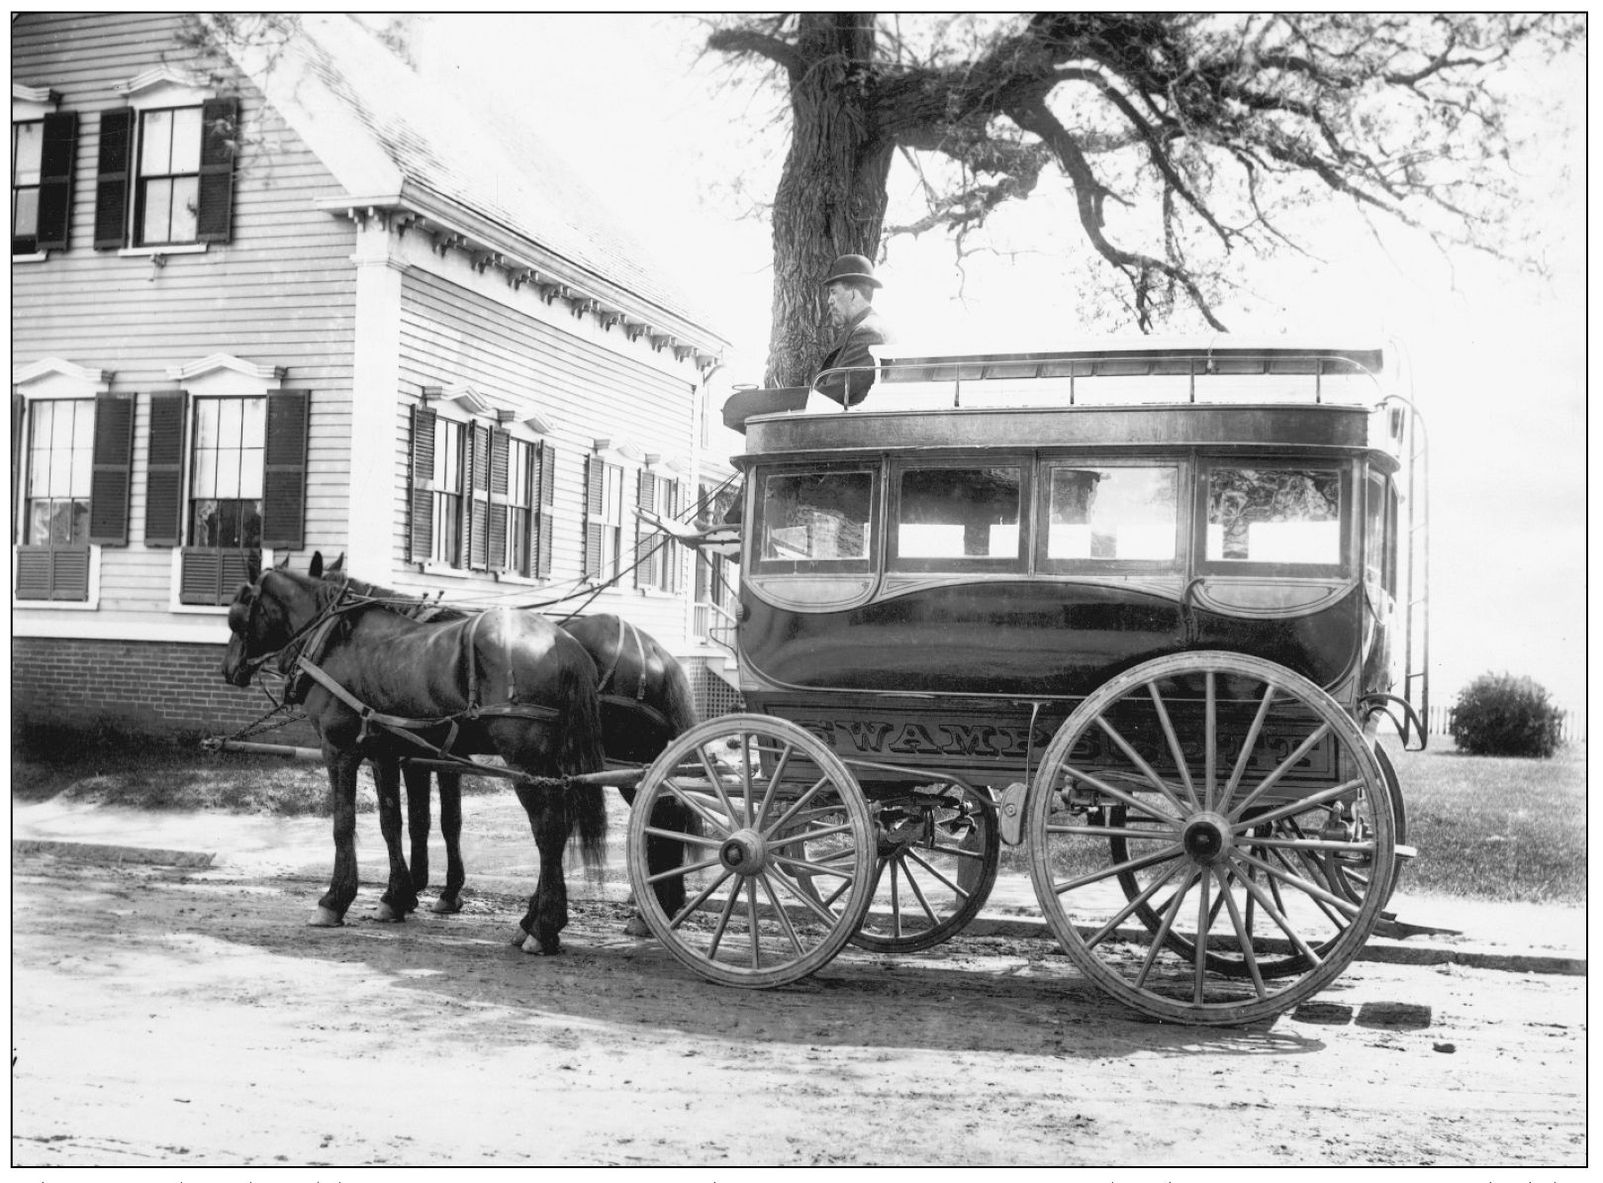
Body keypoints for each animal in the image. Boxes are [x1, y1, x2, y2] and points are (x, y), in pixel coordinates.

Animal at [219, 551, 605, 948]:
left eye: (238, 613)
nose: (229, 669)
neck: (334, 639)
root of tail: (565, 645)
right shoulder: (386, 752)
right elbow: (395, 821)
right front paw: (396, 895)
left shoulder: (339, 748)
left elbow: (344, 823)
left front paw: (335, 899)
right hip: (552, 765)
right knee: (558, 828)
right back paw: (532, 921)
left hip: (526, 762)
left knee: (548, 830)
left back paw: (544, 926)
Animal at [318, 551, 702, 923]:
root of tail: (656, 653)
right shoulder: (435, 755)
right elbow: (437, 820)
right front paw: (432, 891)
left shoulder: (410, 753)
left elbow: (421, 820)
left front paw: (408, 894)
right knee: (667, 813)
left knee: (655, 815)